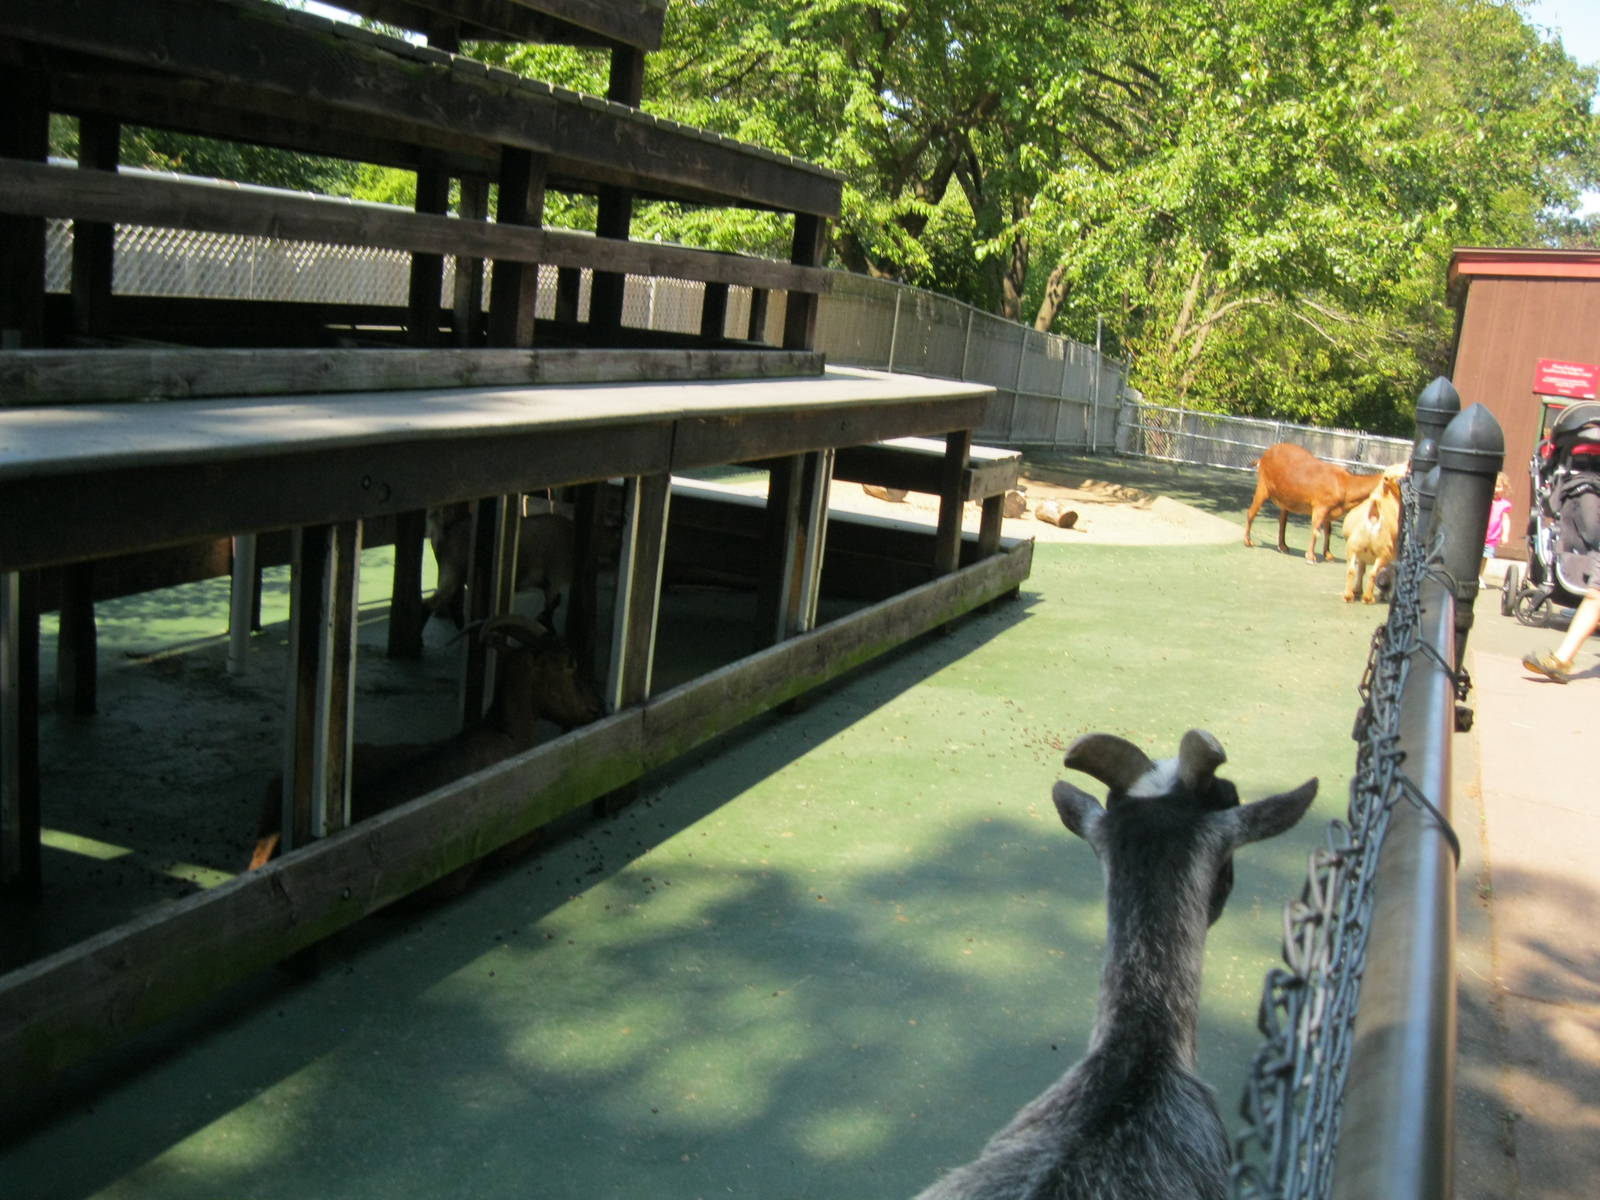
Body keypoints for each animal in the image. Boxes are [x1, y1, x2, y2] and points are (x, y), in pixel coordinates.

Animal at [426, 502, 576, 631]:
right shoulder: (555, 577)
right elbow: (552, 605)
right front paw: (550, 629)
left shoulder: (548, 582)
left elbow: (554, 602)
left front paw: (542, 621)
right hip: (454, 571)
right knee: (439, 601)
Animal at [1244, 443, 1383, 563]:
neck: (1345, 484)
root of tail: (1263, 457)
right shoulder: (1320, 506)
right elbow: (1316, 529)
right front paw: (1311, 556)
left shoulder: (1329, 511)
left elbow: (1328, 531)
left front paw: (1328, 554)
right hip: (1263, 486)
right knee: (1252, 512)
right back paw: (1248, 541)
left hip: (1285, 497)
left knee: (1282, 520)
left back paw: (1283, 546)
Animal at [1342, 467, 1404, 603]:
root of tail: (1374, 516)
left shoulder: (1362, 555)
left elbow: (1361, 570)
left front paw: (1357, 590)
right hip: (1383, 553)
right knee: (1373, 573)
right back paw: (1369, 598)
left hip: (1353, 547)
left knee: (1351, 570)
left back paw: (1349, 595)